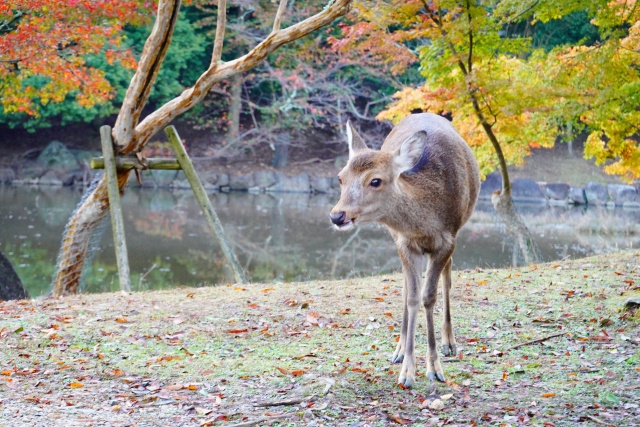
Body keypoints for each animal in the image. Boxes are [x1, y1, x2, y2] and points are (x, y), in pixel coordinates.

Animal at [330, 113, 480, 387]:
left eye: (375, 180)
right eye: (340, 177)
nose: (337, 216)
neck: (426, 224)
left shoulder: (448, 240)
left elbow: (429, 296)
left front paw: (435, 368)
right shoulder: (405, 243)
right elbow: (412, 297)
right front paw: (408, 370)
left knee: (447, 277)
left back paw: (449, 343)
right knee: (406, 287)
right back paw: (399, 350)